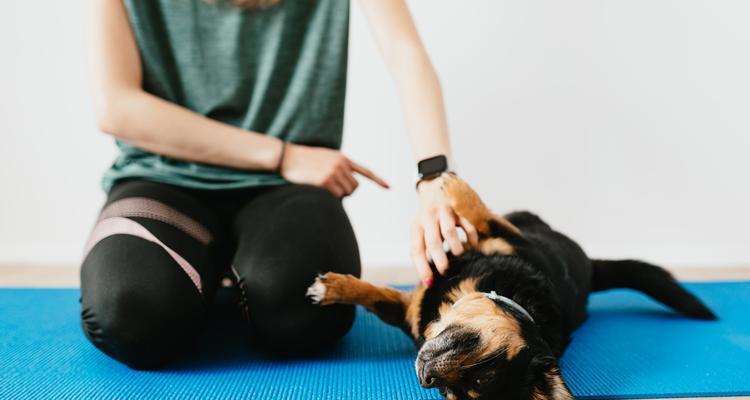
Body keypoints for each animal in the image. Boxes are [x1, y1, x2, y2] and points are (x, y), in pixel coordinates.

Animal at [306, 173, 716, 400]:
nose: (427, 378)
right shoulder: (509, 242)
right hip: (524, 221)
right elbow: (376, 295)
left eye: (460, 389)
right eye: (446, 391)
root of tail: (591, 269)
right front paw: (335, 289)